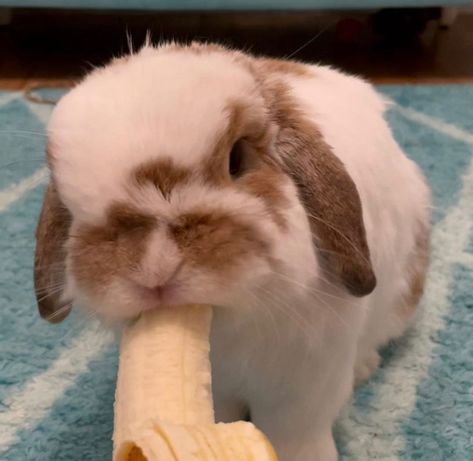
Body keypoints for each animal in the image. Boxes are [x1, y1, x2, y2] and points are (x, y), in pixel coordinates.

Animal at [35, 41, 430, 458]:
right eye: (70, 198)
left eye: (237, 159)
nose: (154, 270)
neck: (232, 323)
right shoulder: (219, 384)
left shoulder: (304, 387)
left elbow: (296, 434)